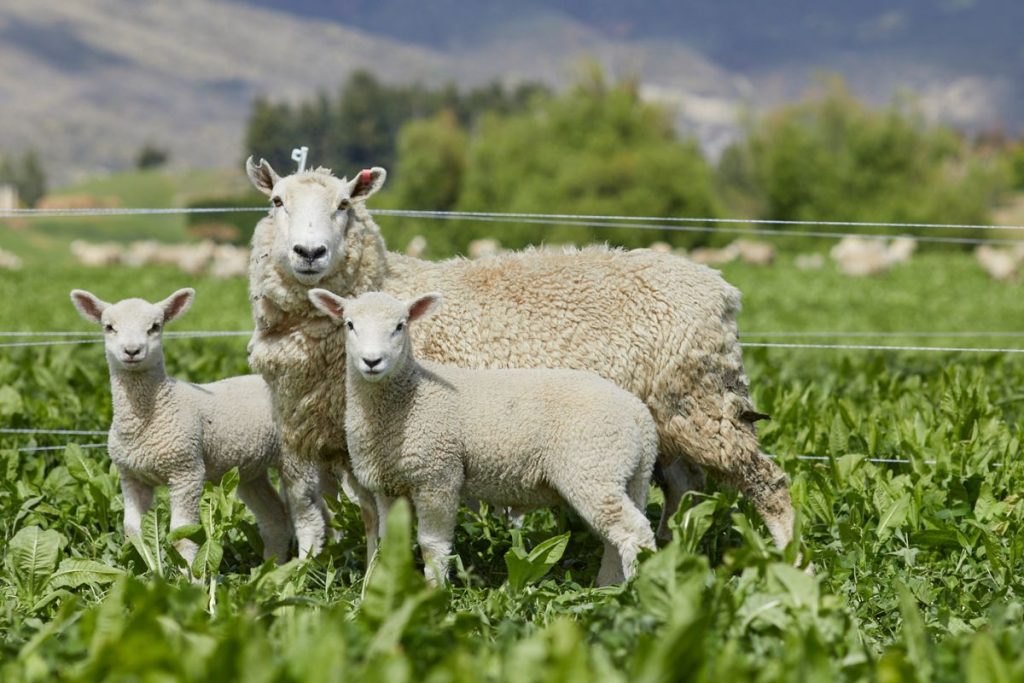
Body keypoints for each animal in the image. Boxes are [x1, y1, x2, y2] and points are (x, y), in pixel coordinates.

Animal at [69, 287, 329, 571]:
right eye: (109, 327)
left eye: (155, 327)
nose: (132, 350)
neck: (149, 418)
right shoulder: (130, 475)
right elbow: (133, 531)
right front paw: (149, 572)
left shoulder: (186, 470)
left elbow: (182, 533)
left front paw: (189, 576)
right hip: (249, 468)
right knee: (275, 518)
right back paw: (270, 569)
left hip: (297, 460)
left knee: (308, 518)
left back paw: (302, 567)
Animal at [308, 288, 657, 586]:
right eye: (350, 324)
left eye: (399, 326)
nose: (372, 361)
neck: (408, 396)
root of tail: (638, 414)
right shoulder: (389, 484)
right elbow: (390, 540)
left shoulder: (439, 475)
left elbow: (432, 545)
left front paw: (434, 594)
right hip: (627, 475)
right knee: (619, 534)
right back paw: (608, 587)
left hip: (593, 467)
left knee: (634, 532)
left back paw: (633, 593)